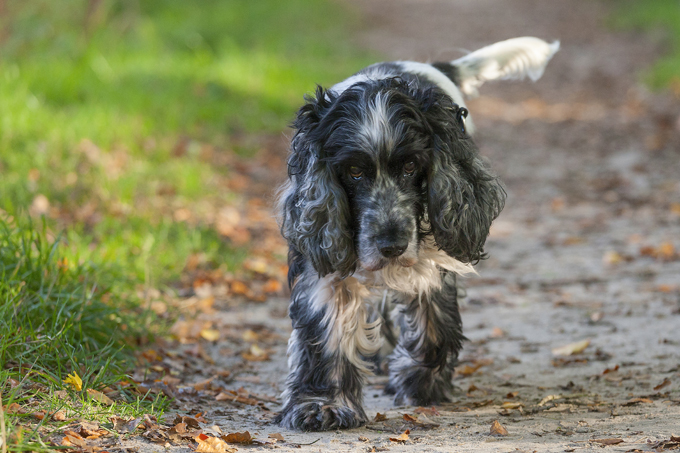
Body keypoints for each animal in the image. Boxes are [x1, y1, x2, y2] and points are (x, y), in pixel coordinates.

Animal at [274, 37, 556, 430]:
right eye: (354, 172)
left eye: (410, 166)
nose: (391, 245)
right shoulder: (324, 263)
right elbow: (325, 336)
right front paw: (321, 406)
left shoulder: (434, 259)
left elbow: (433, 328)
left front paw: (417, 384)